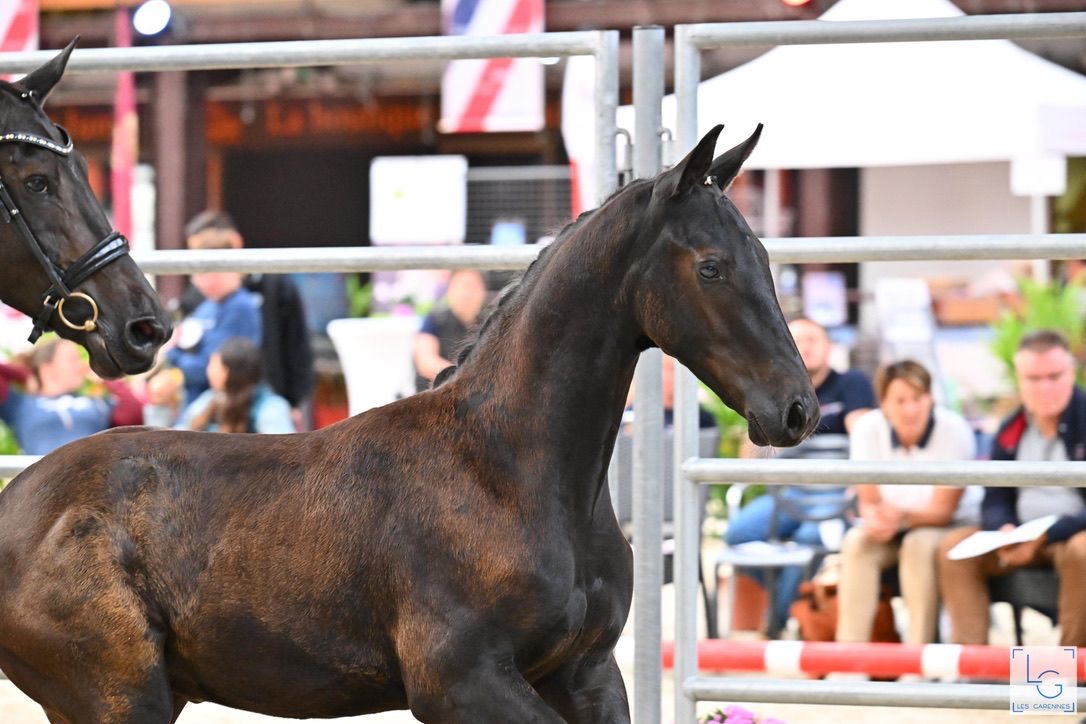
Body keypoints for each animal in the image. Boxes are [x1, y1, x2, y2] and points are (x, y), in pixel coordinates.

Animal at [0, 124, 817, 723]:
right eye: (710, 266)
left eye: (764, 255)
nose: (795, 410)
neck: (509, 473)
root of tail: (16, 502)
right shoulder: (458, 681)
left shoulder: (588, 672)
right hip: (119, 697)